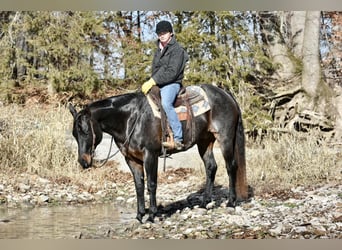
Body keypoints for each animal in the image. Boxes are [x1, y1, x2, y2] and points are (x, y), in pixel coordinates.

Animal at [68, 83, 247, 223]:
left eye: (85, 131)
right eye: (74, 134)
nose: (83, 161)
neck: (131, 118)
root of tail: (225, 94)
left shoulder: (150, 155)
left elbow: (151, 184)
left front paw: (152, 215)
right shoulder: (131, 159)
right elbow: (139, 185)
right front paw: (140, 215)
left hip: (225, 138)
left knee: (231, 167)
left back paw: (231, 202)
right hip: (204, 141)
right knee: (211, 167)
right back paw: (204, 204)